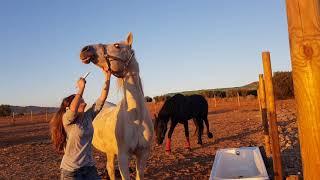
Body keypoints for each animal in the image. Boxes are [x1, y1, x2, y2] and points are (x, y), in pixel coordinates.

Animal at [80, 32, 154, 180]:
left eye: (117, 46)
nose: (85, 50)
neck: (136, 118)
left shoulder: (143, 155)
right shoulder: (123, 157)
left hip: (109, 151)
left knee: (109, 168)